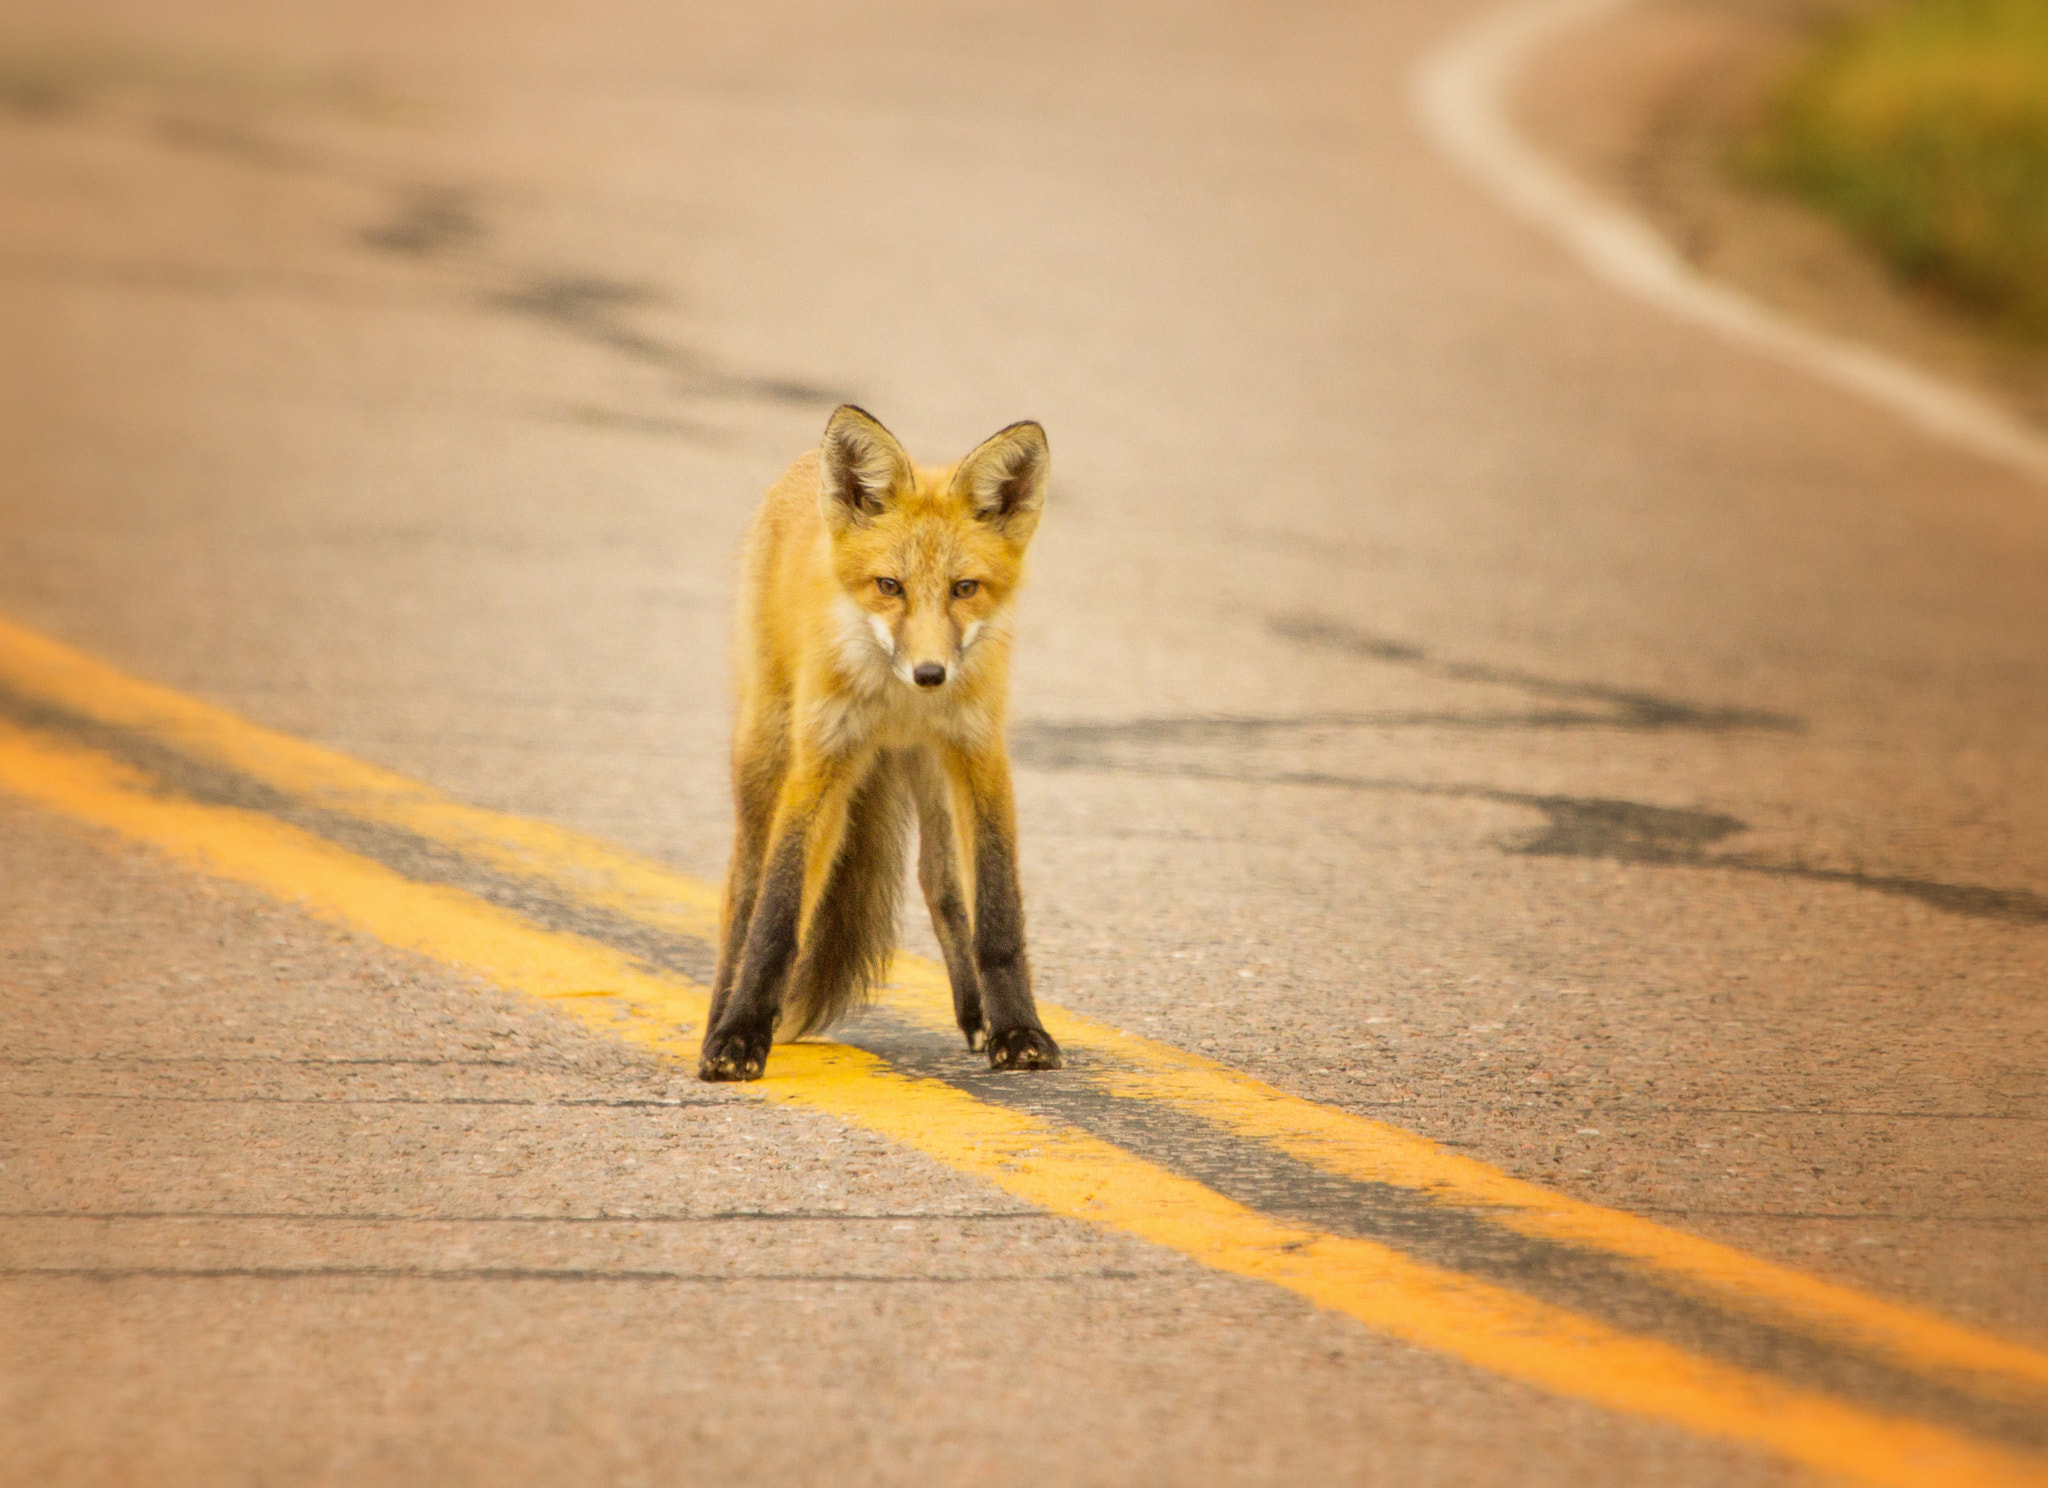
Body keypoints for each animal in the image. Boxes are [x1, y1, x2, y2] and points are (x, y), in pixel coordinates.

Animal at [700, 407, 1064, 1080]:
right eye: (889, 585)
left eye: (965, 588)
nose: (930, 674)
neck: (900, 705)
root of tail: (801, 467)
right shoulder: (821, 761)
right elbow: (778, 914)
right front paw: (738, 1038)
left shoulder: (979, 754)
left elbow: (997, 913)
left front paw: (1019, 1031)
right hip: (766, 751)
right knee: (743, 890)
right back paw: (719, 1014)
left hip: (928, 770)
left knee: (940, 881)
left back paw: (976, 1014)